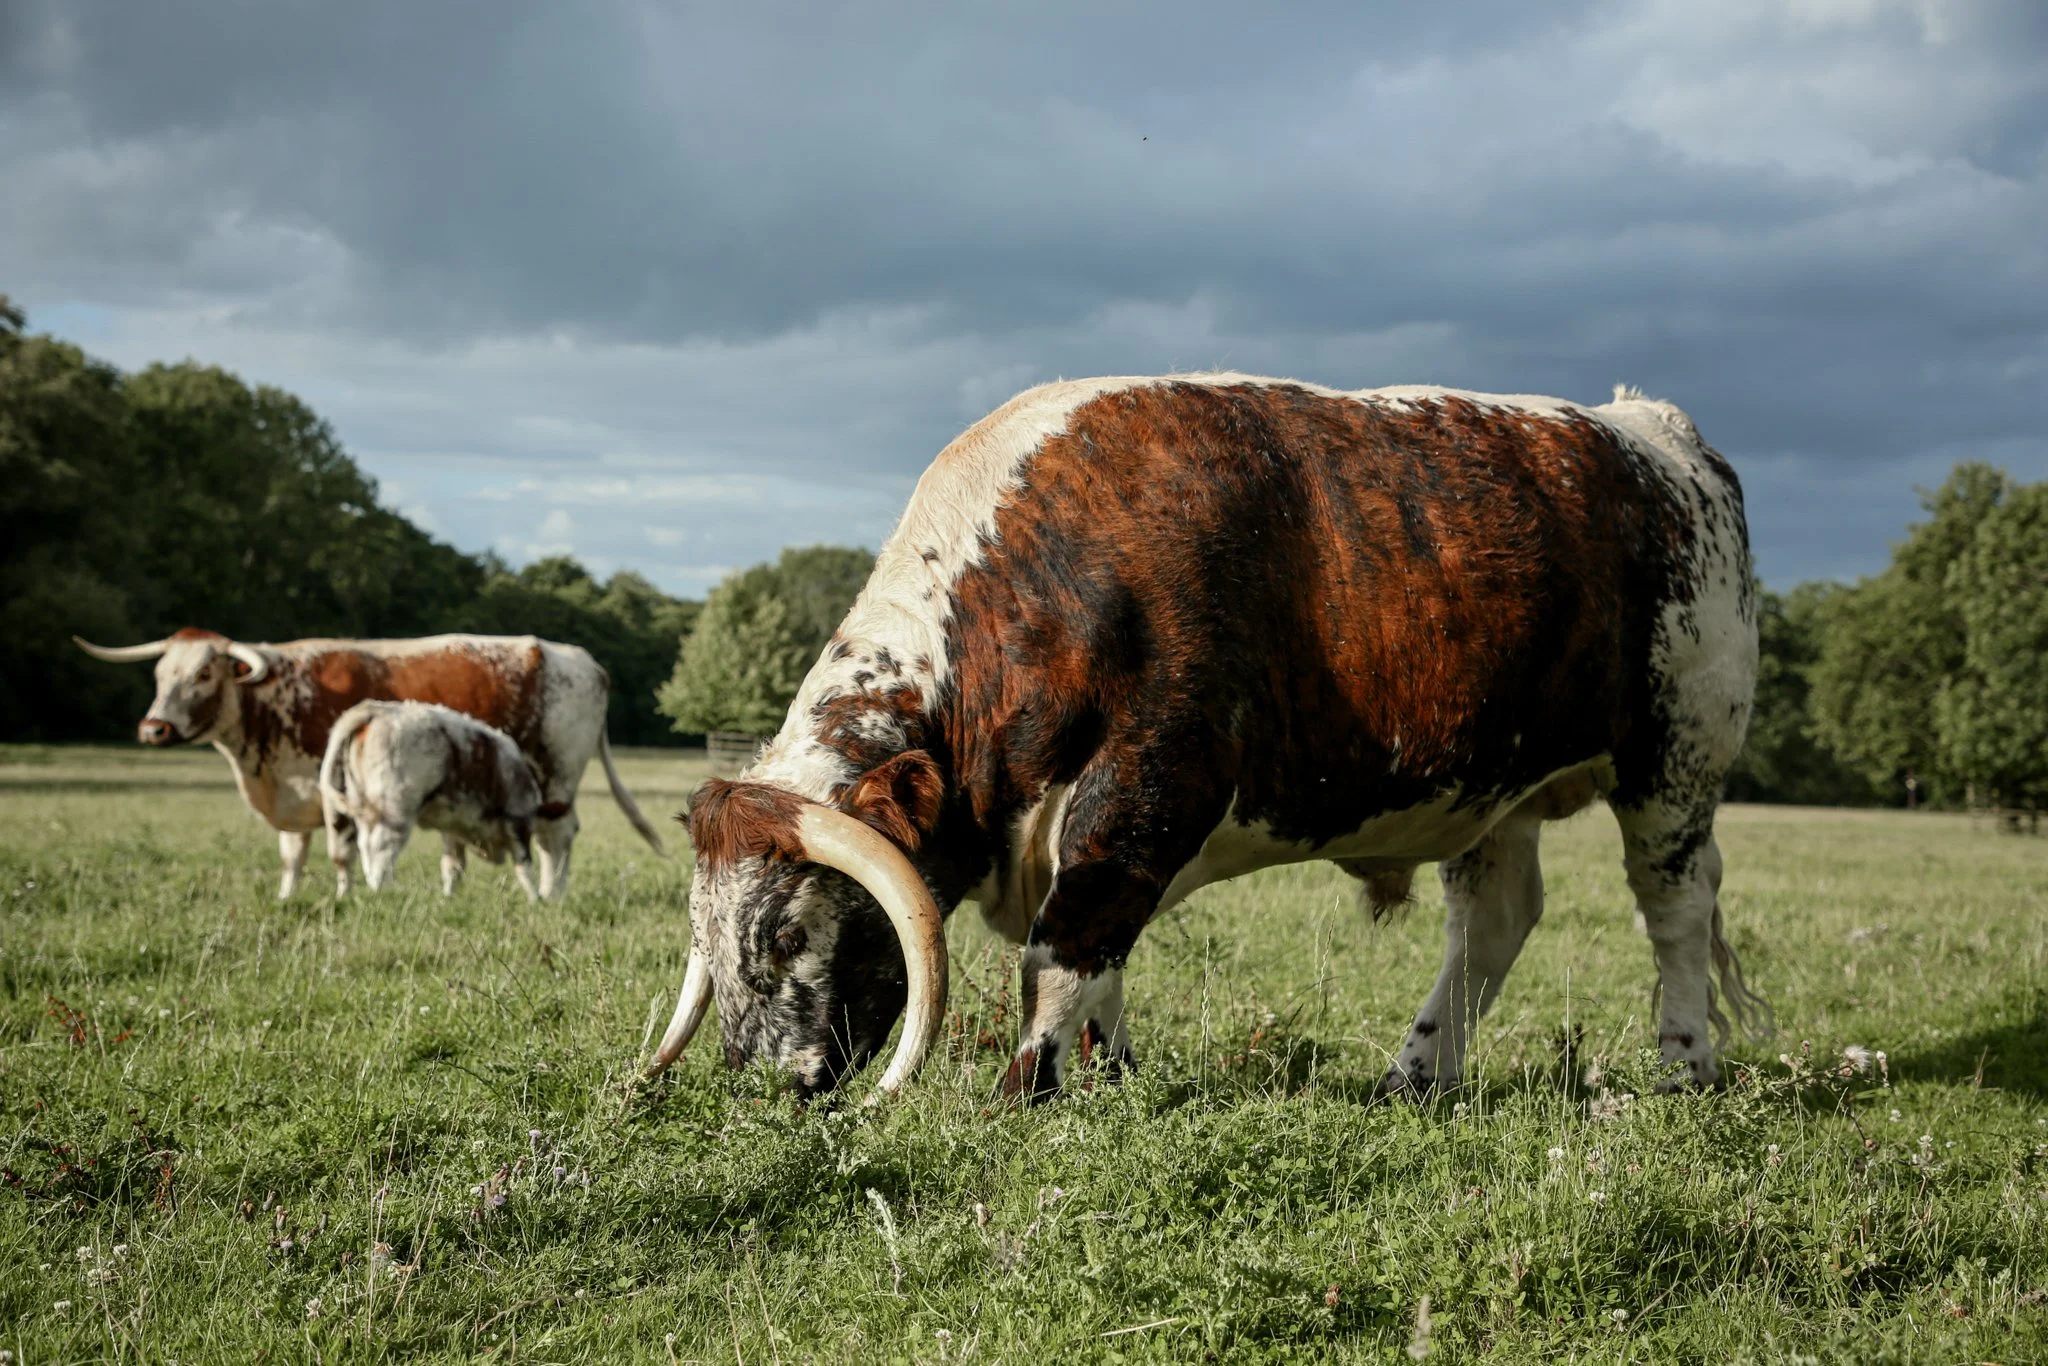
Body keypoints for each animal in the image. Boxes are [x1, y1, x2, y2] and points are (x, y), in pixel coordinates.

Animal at [320, 700, 561, 899]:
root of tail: (375, 710)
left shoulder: (453, 827)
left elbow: (453, 866)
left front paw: (448, 899)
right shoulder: (518, 819)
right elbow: (524, 865)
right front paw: (535, 900)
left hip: (349, 809)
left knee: (348, 851)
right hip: (394, 811)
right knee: (379, 850)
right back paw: (383, 891)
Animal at [644, 375, 1767, 1104]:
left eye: (786, 934)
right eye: (706, 936)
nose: (758, 1088)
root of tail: (1649, 429)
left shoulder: (1143, 793)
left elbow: (1065, 947)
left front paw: (1025, 1090)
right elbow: (1099, 965)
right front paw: (1111, 1078)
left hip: (1677, 759)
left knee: (1673, 907)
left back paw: (1681, 1067)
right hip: (1489, 783)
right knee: (1493, 922)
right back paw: (1416, 1077)